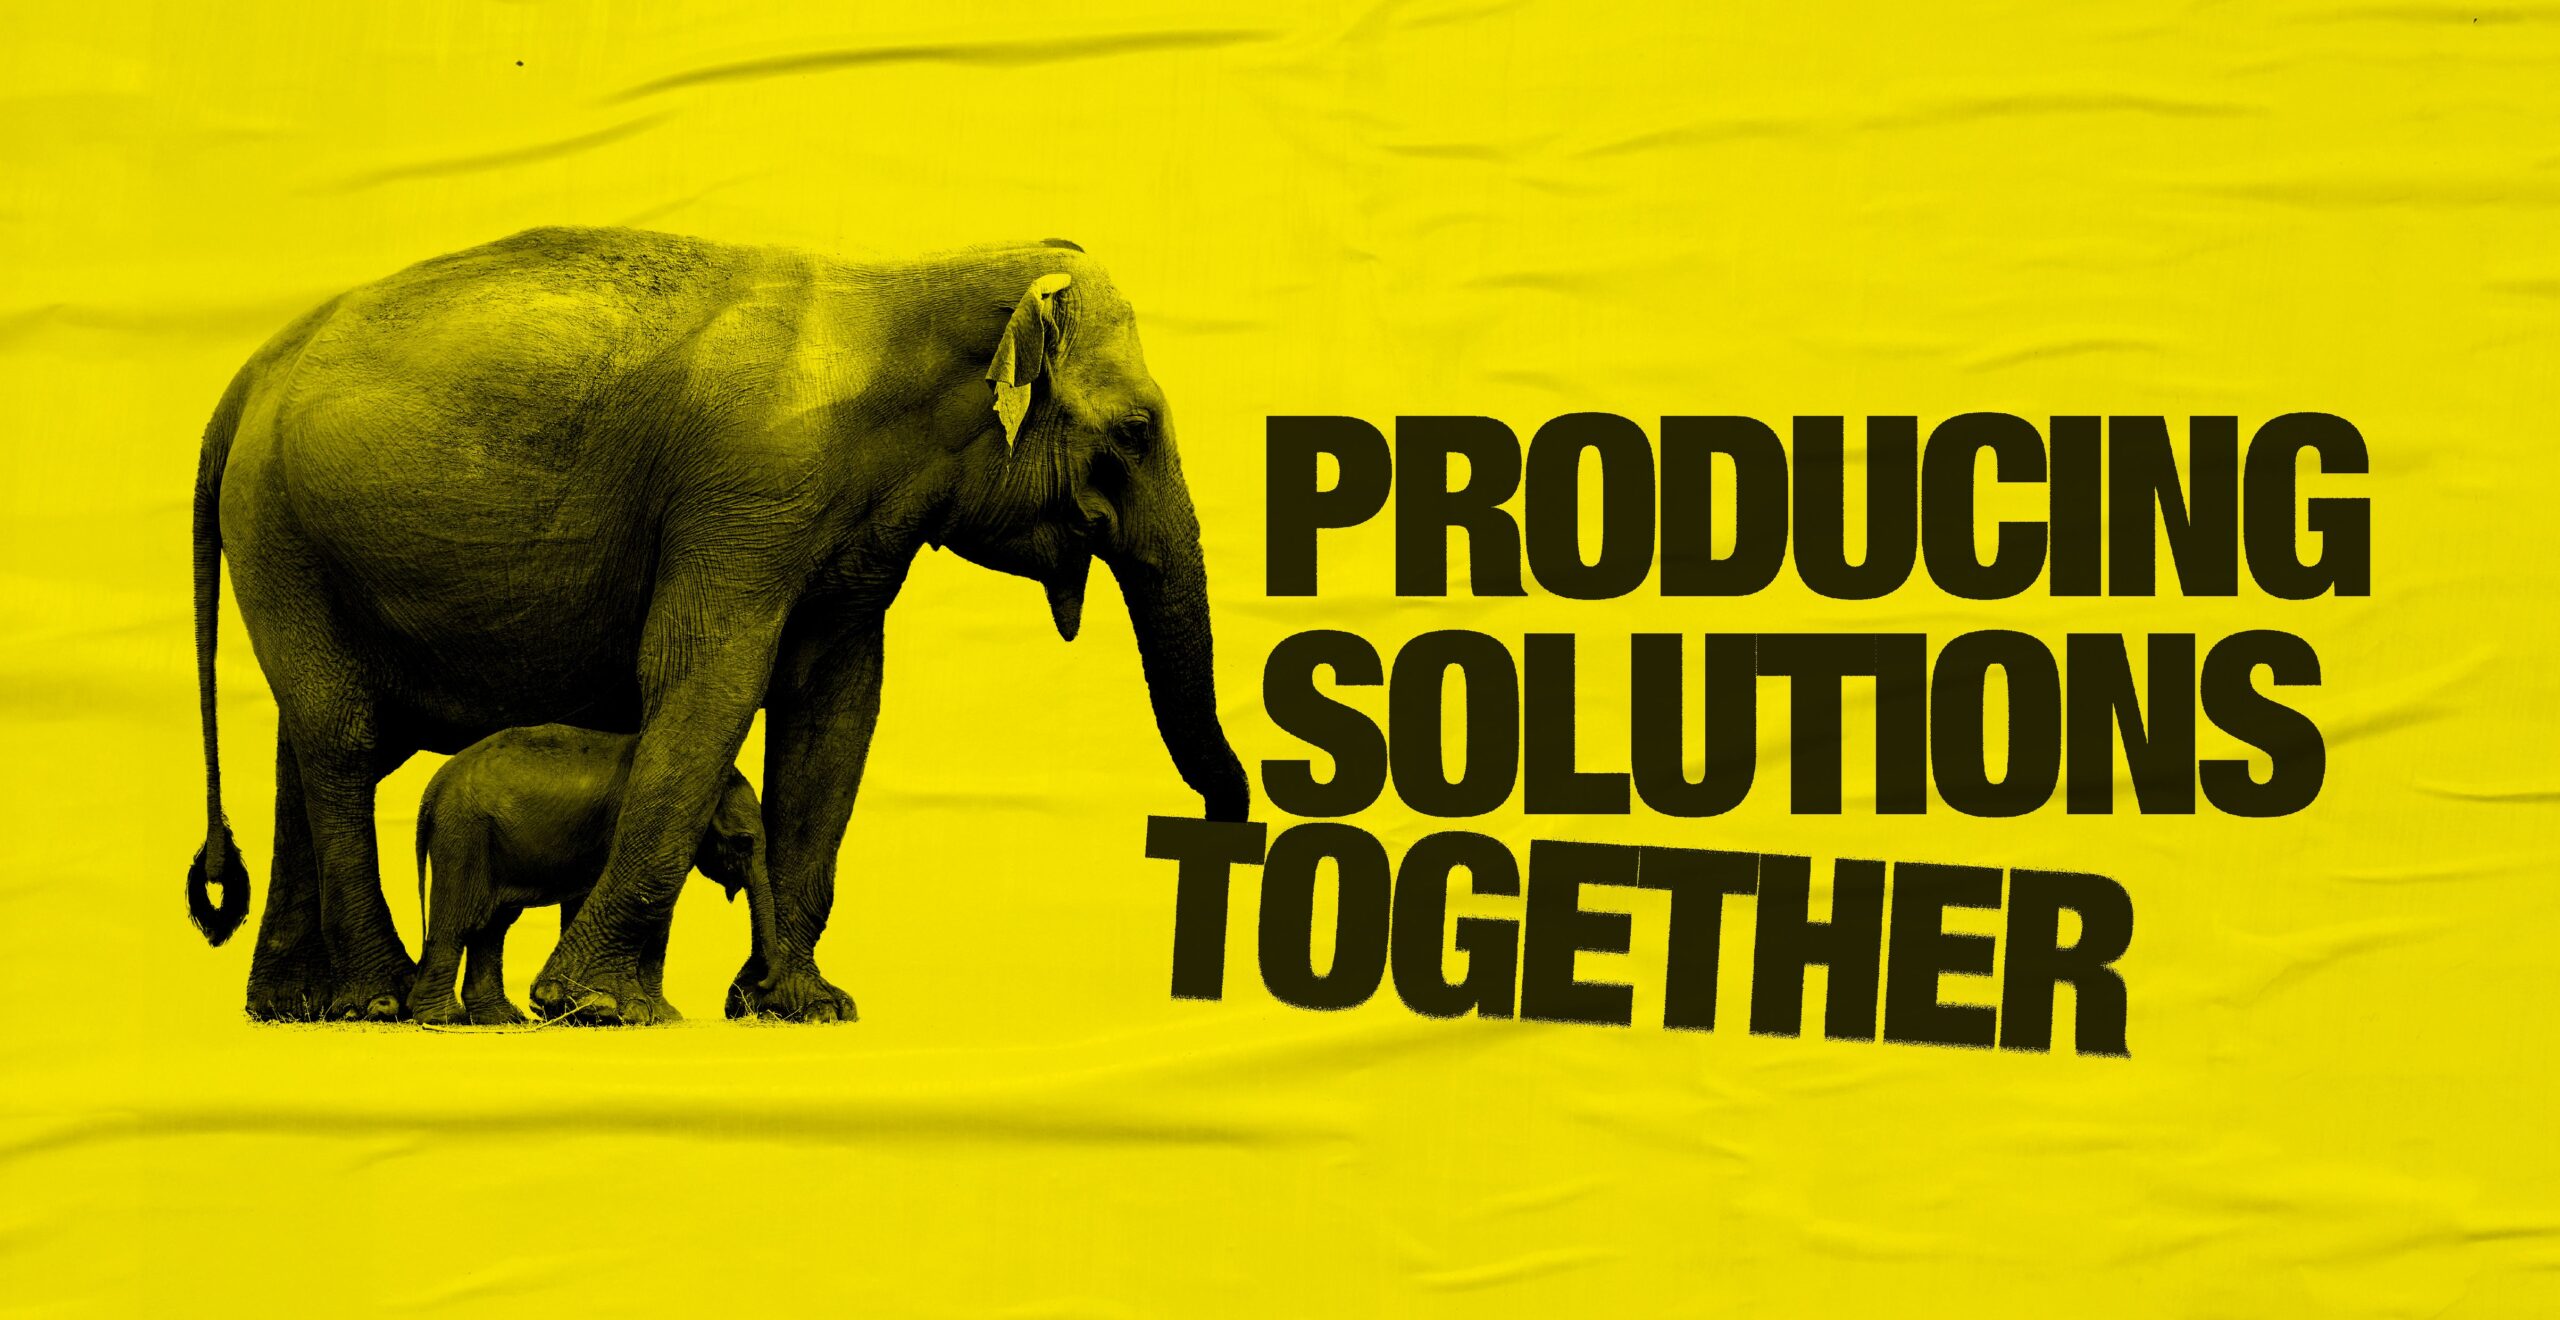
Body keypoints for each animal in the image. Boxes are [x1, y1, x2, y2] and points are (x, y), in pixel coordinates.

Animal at [411, 724, 781, 1026]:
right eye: (743, 842)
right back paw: (444, 1019)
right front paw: (645, 1013)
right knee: (461, 920)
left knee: (492, 926)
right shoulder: (617, 829)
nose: (758, 989)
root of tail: (432, 789)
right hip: (464, 835)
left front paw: (663, 1016)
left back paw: (502, 1018)